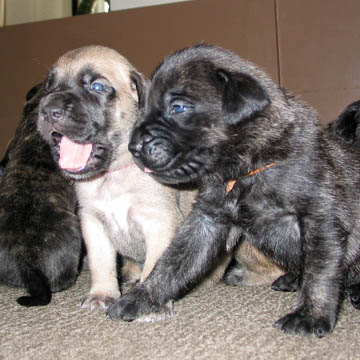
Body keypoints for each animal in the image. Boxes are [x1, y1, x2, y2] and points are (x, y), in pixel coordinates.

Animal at [106, 45, 360, 338]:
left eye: (178, 107)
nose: (133, 147)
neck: (249, 168)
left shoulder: (320, 220)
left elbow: (320, 272)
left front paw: (310, 315)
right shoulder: (208, 220)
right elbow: (172, 262)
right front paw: (143, 297)